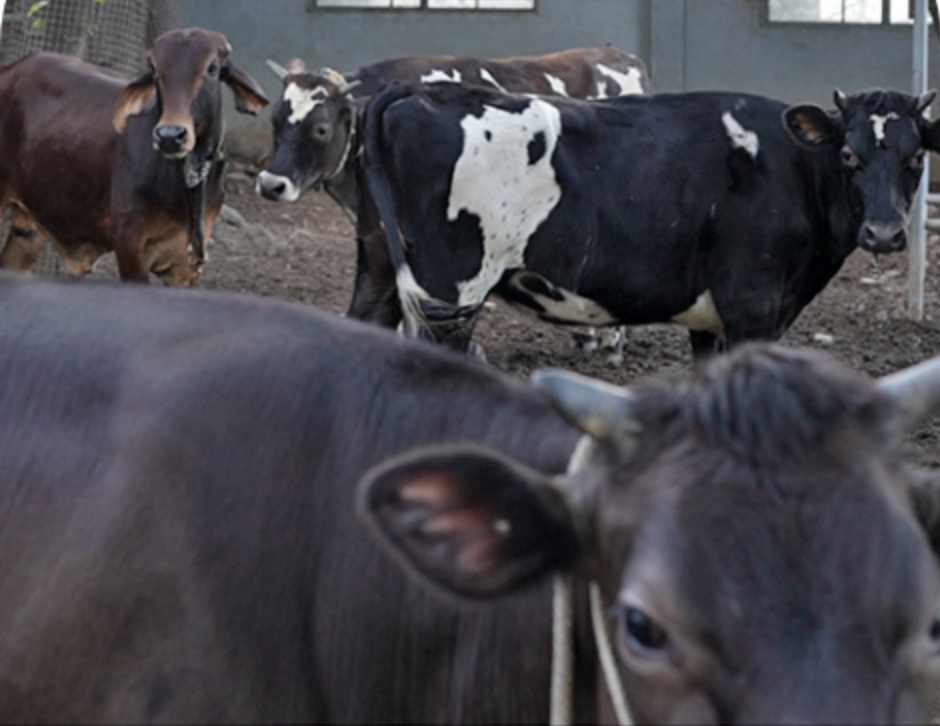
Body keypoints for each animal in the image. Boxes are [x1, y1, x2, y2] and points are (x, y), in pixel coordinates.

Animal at [0, 27, 268, 285]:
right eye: (156, 71)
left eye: (212, 68)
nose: (170, 135)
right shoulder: (130, 248)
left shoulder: (184, 267)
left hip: (27, 231)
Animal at [360, 83, 940, 359]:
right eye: (848, 154)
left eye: (916, 157)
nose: (885, 233)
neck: (792, 166)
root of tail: (425, 91)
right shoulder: (753, 310)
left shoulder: (710, 322)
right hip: (450, 293)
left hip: (382, 273)